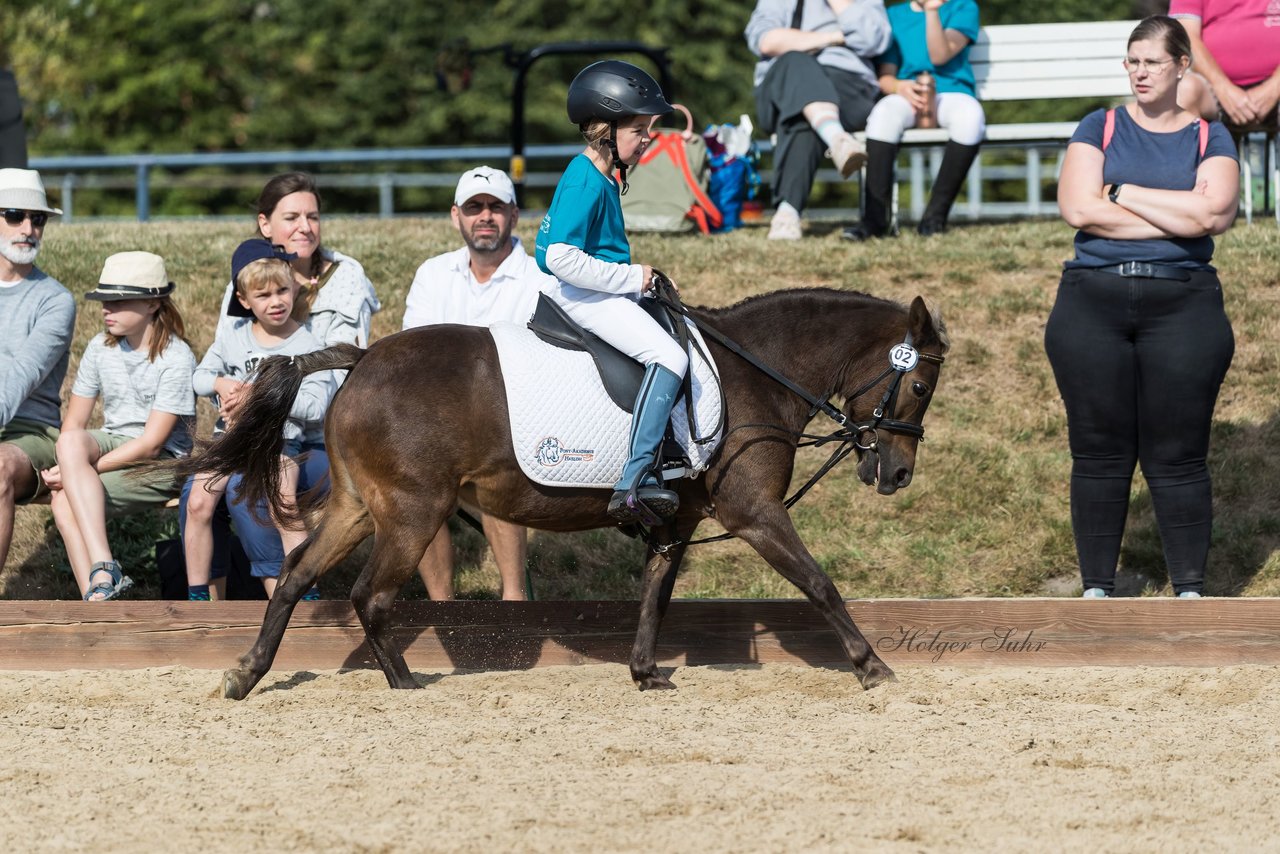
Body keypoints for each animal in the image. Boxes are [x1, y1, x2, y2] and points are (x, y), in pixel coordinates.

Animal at [183, 289, 942, 701]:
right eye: (920, 383)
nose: (897, 474)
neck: (753, 372)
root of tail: (365, 357)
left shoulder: (679, 519)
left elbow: (656, 593)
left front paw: (645, 672)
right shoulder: (755, 514)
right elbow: (819, 584)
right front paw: (873, 666)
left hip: (357, 508)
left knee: (294, 577)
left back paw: (247, 673)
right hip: (412, 512)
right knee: (370, 594)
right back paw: (402, 681)